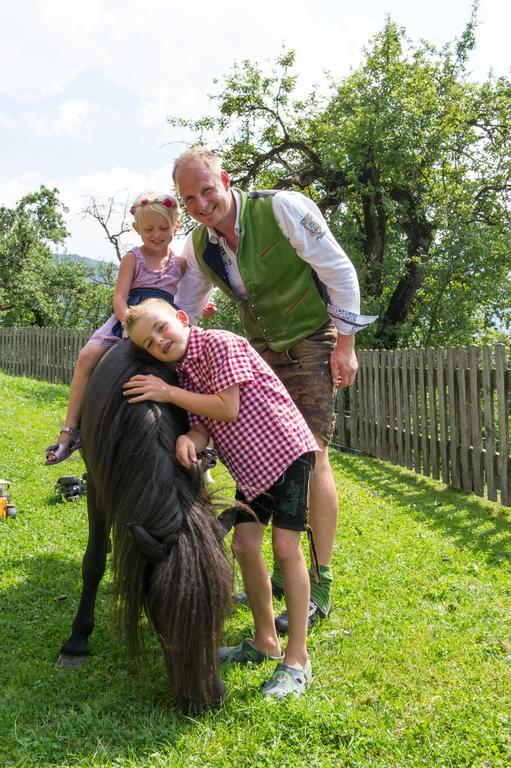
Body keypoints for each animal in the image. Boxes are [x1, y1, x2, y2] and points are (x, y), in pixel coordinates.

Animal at [57, 342, 232, 712]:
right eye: (163, 613)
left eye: (220, 610)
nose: (208, 699)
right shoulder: (98, 486)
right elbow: (93, 561)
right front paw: (77, 641)